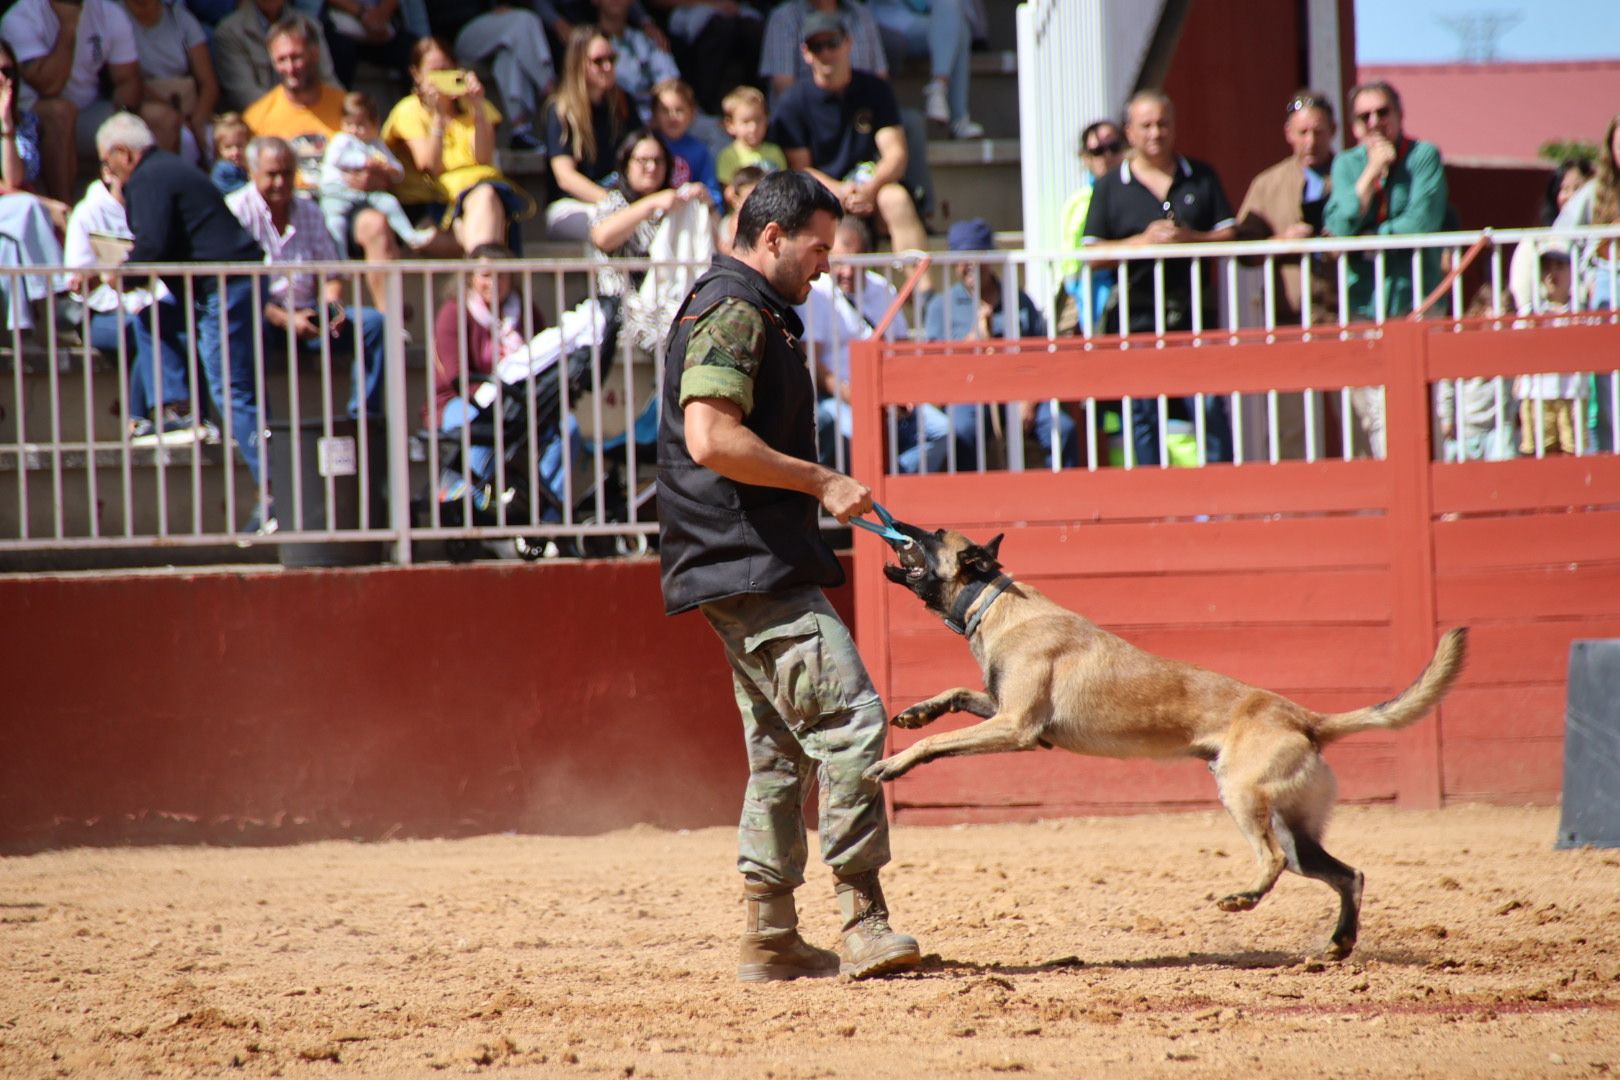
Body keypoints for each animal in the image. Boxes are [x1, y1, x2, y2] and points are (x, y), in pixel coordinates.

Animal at [874, 524, 1470, 952]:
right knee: (1348, 875)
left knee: (1274, 860)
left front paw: (894, 764)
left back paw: (1244, 899)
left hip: (1243, 798)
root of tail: (1305, 717)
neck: (995, 601)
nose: (899, 524)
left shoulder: (1015, 726)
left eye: (932, 535)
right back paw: (1339, 942)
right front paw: (917, 713)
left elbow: (934, 745)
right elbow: (954, 694)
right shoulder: (1003, 711)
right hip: (1296, 826)